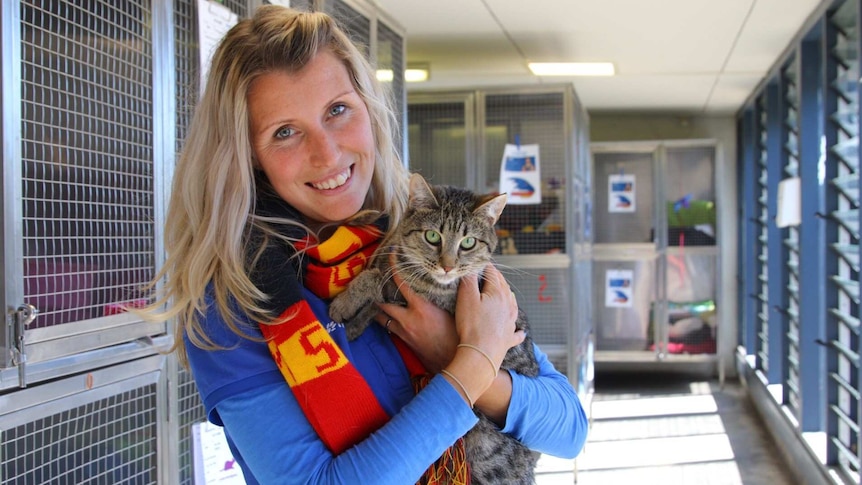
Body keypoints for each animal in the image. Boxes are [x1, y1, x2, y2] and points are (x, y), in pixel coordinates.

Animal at [330, 174, 540, 484]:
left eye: (468, 242)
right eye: (432, 237)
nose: (447, 267)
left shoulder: (416, 296)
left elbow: (376, 280)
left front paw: (344, 303)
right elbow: (376, 281)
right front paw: (353, 322)